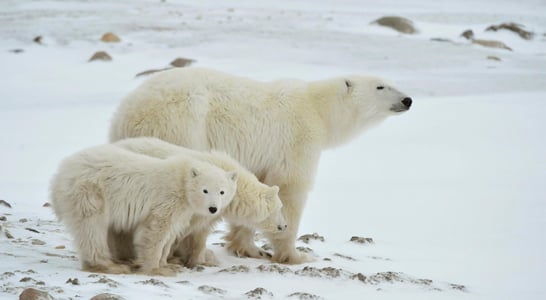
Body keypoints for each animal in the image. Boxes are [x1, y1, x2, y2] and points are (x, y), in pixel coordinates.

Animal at [50, 144, 236, 276]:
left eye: (222, 191)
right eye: (205, 190)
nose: (213, 208)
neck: (182, 180)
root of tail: (60, 173)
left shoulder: (182, 210)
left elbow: (169, 235)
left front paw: (167, 264)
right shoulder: (167, 199)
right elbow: (155, 231)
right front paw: (157, 269)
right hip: (90, 192)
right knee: (92, 228)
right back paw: (110, 266)